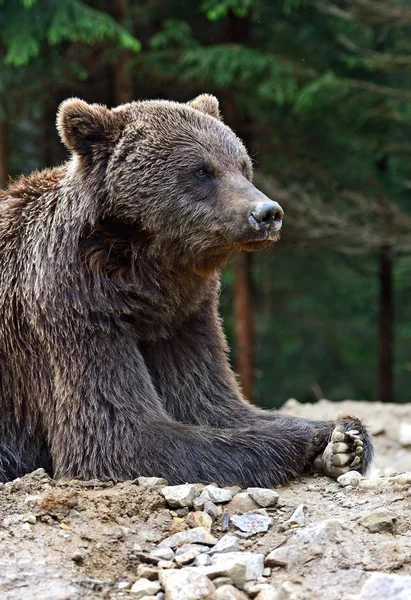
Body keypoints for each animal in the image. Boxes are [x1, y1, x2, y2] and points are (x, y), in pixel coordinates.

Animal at [0, 95, 374, 488]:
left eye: (243, 166)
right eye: (201, 170)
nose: (267, 213)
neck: (144, 275)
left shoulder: (184, 316)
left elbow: (210, 401)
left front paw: (344, 438)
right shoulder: (73, 309)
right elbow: (119, 434)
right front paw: (304, 438)